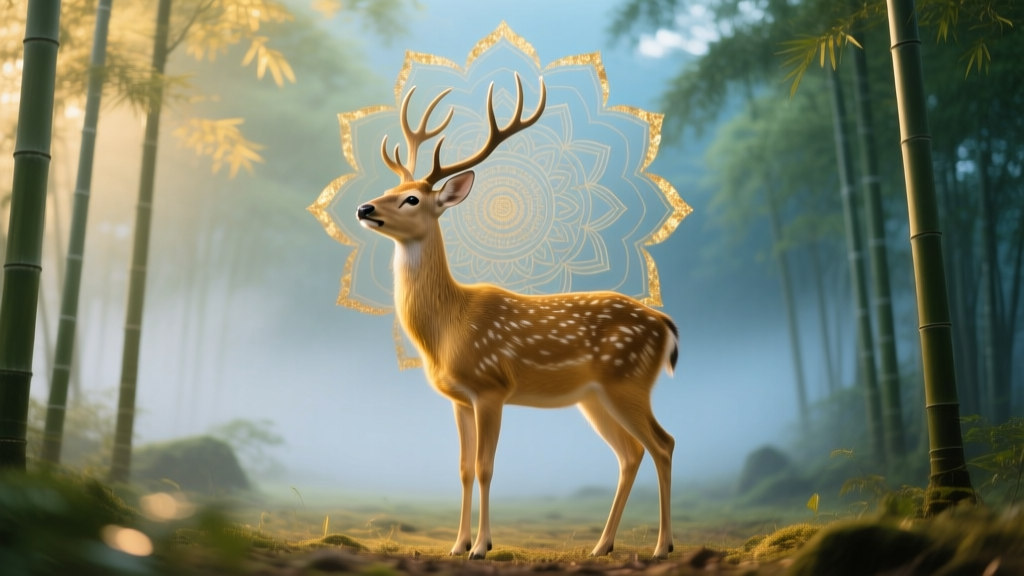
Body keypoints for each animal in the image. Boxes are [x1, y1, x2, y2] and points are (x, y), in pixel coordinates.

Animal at [355, 72, 678, 560]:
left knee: (662, 444)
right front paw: (457, 545)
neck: (448, 327)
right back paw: (601, 546)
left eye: (411, 199)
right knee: (630, 453)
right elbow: (463, 468)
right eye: (388, 191)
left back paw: (662, 548)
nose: (364, 208)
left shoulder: (491, 387)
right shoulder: (458, 398)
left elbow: (486, 466)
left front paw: (481, 546)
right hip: (595, 396)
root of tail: (665, 325)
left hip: (629, 380)